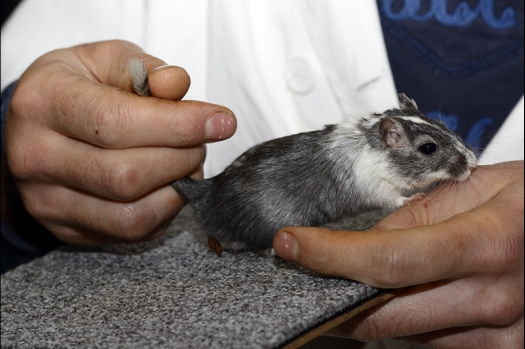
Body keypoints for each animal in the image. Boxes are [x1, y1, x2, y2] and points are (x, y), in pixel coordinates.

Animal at [129, 57, 476, 253]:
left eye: (444, 126)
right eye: (428, 148)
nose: (473, 164)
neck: (375, 144)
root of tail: (207, 191)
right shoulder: (374, 187)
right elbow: (393, 199)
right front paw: (414, 197)